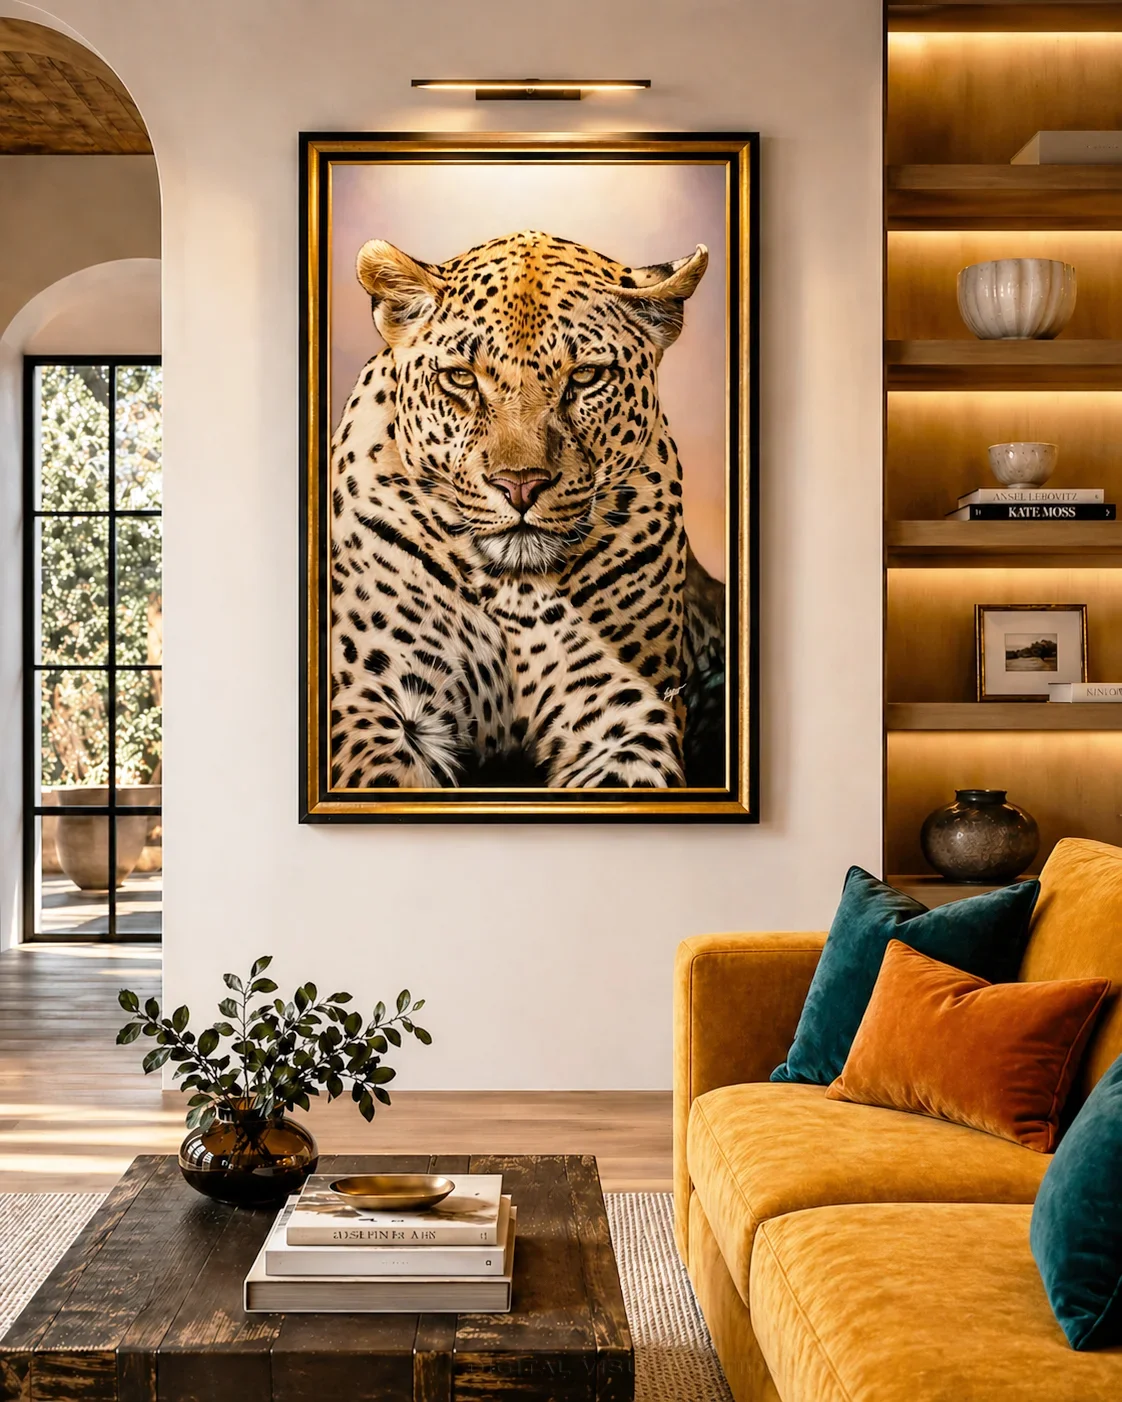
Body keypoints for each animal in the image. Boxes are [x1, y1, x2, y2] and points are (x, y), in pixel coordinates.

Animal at [327, 228, 725, 791]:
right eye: (461, 379)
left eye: (585, 376)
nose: (519, 485)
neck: (512, 589)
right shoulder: (379, 701)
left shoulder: (624, 712)